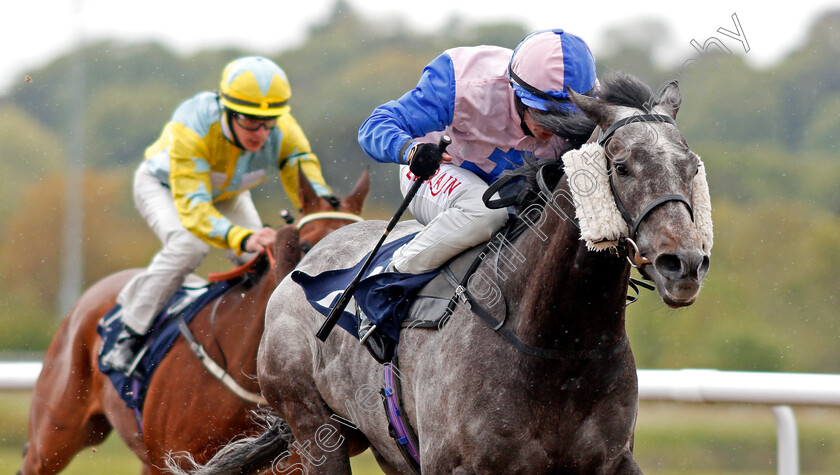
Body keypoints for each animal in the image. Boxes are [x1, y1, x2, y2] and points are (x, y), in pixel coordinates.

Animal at [180, 72, 712, 474]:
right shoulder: (453, 464)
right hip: (314, 433)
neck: (557, 346)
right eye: (620, 166)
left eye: (691, 166)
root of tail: (302, 266)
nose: (683, 263)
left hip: (382, 444)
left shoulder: (610, 461)